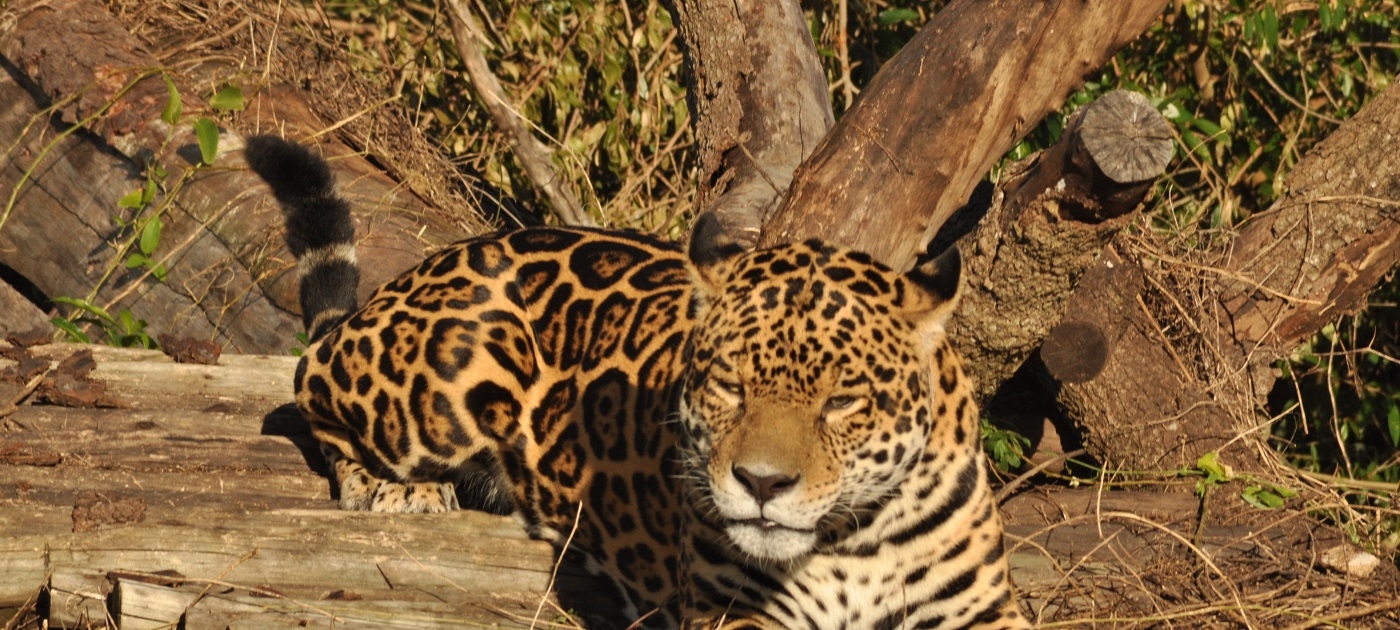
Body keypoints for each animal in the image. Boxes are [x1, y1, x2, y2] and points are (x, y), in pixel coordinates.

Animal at [245, 135, 1032, 630]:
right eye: (728, 386)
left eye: (843, 402)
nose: (762, 484)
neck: (848, 539)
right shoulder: (732, 613)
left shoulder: (983, 609)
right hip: (446, 376)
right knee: (308, 384)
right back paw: (398, 490)